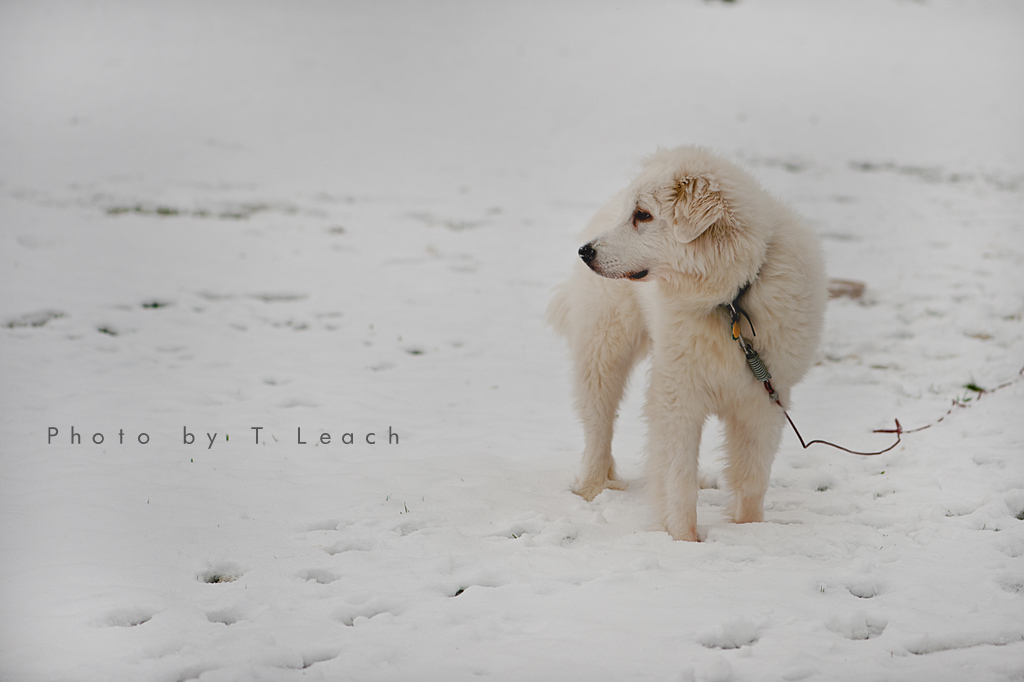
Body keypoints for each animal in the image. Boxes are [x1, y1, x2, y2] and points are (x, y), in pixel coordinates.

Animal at [548, 146, 827, 540]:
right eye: (632, 213)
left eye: (643, 215)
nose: (585, 252)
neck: (730, 300)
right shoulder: (677, 396)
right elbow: (677, 482)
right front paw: (684, 541)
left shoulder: (765, 399)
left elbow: (752, 479)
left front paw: (751, 532)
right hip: (604, 352)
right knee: (598, 429)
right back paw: (592, 490)